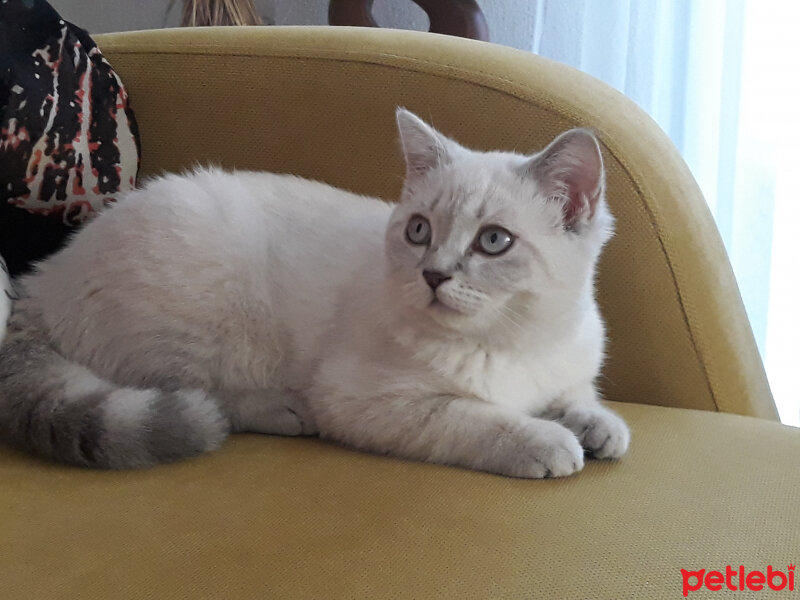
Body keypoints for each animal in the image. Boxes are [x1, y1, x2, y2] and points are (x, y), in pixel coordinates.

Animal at [0, 109, 632, 478]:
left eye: (494, 241)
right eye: (419, 231)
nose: (432, 275)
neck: (510, 342)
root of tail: (40, 284)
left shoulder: (566, 366)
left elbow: (577, 396)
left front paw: (597, 426)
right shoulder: (368, 400)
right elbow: (473, 417)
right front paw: (545, 440)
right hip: (202, 319)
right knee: (198, 394)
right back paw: (283, 409)